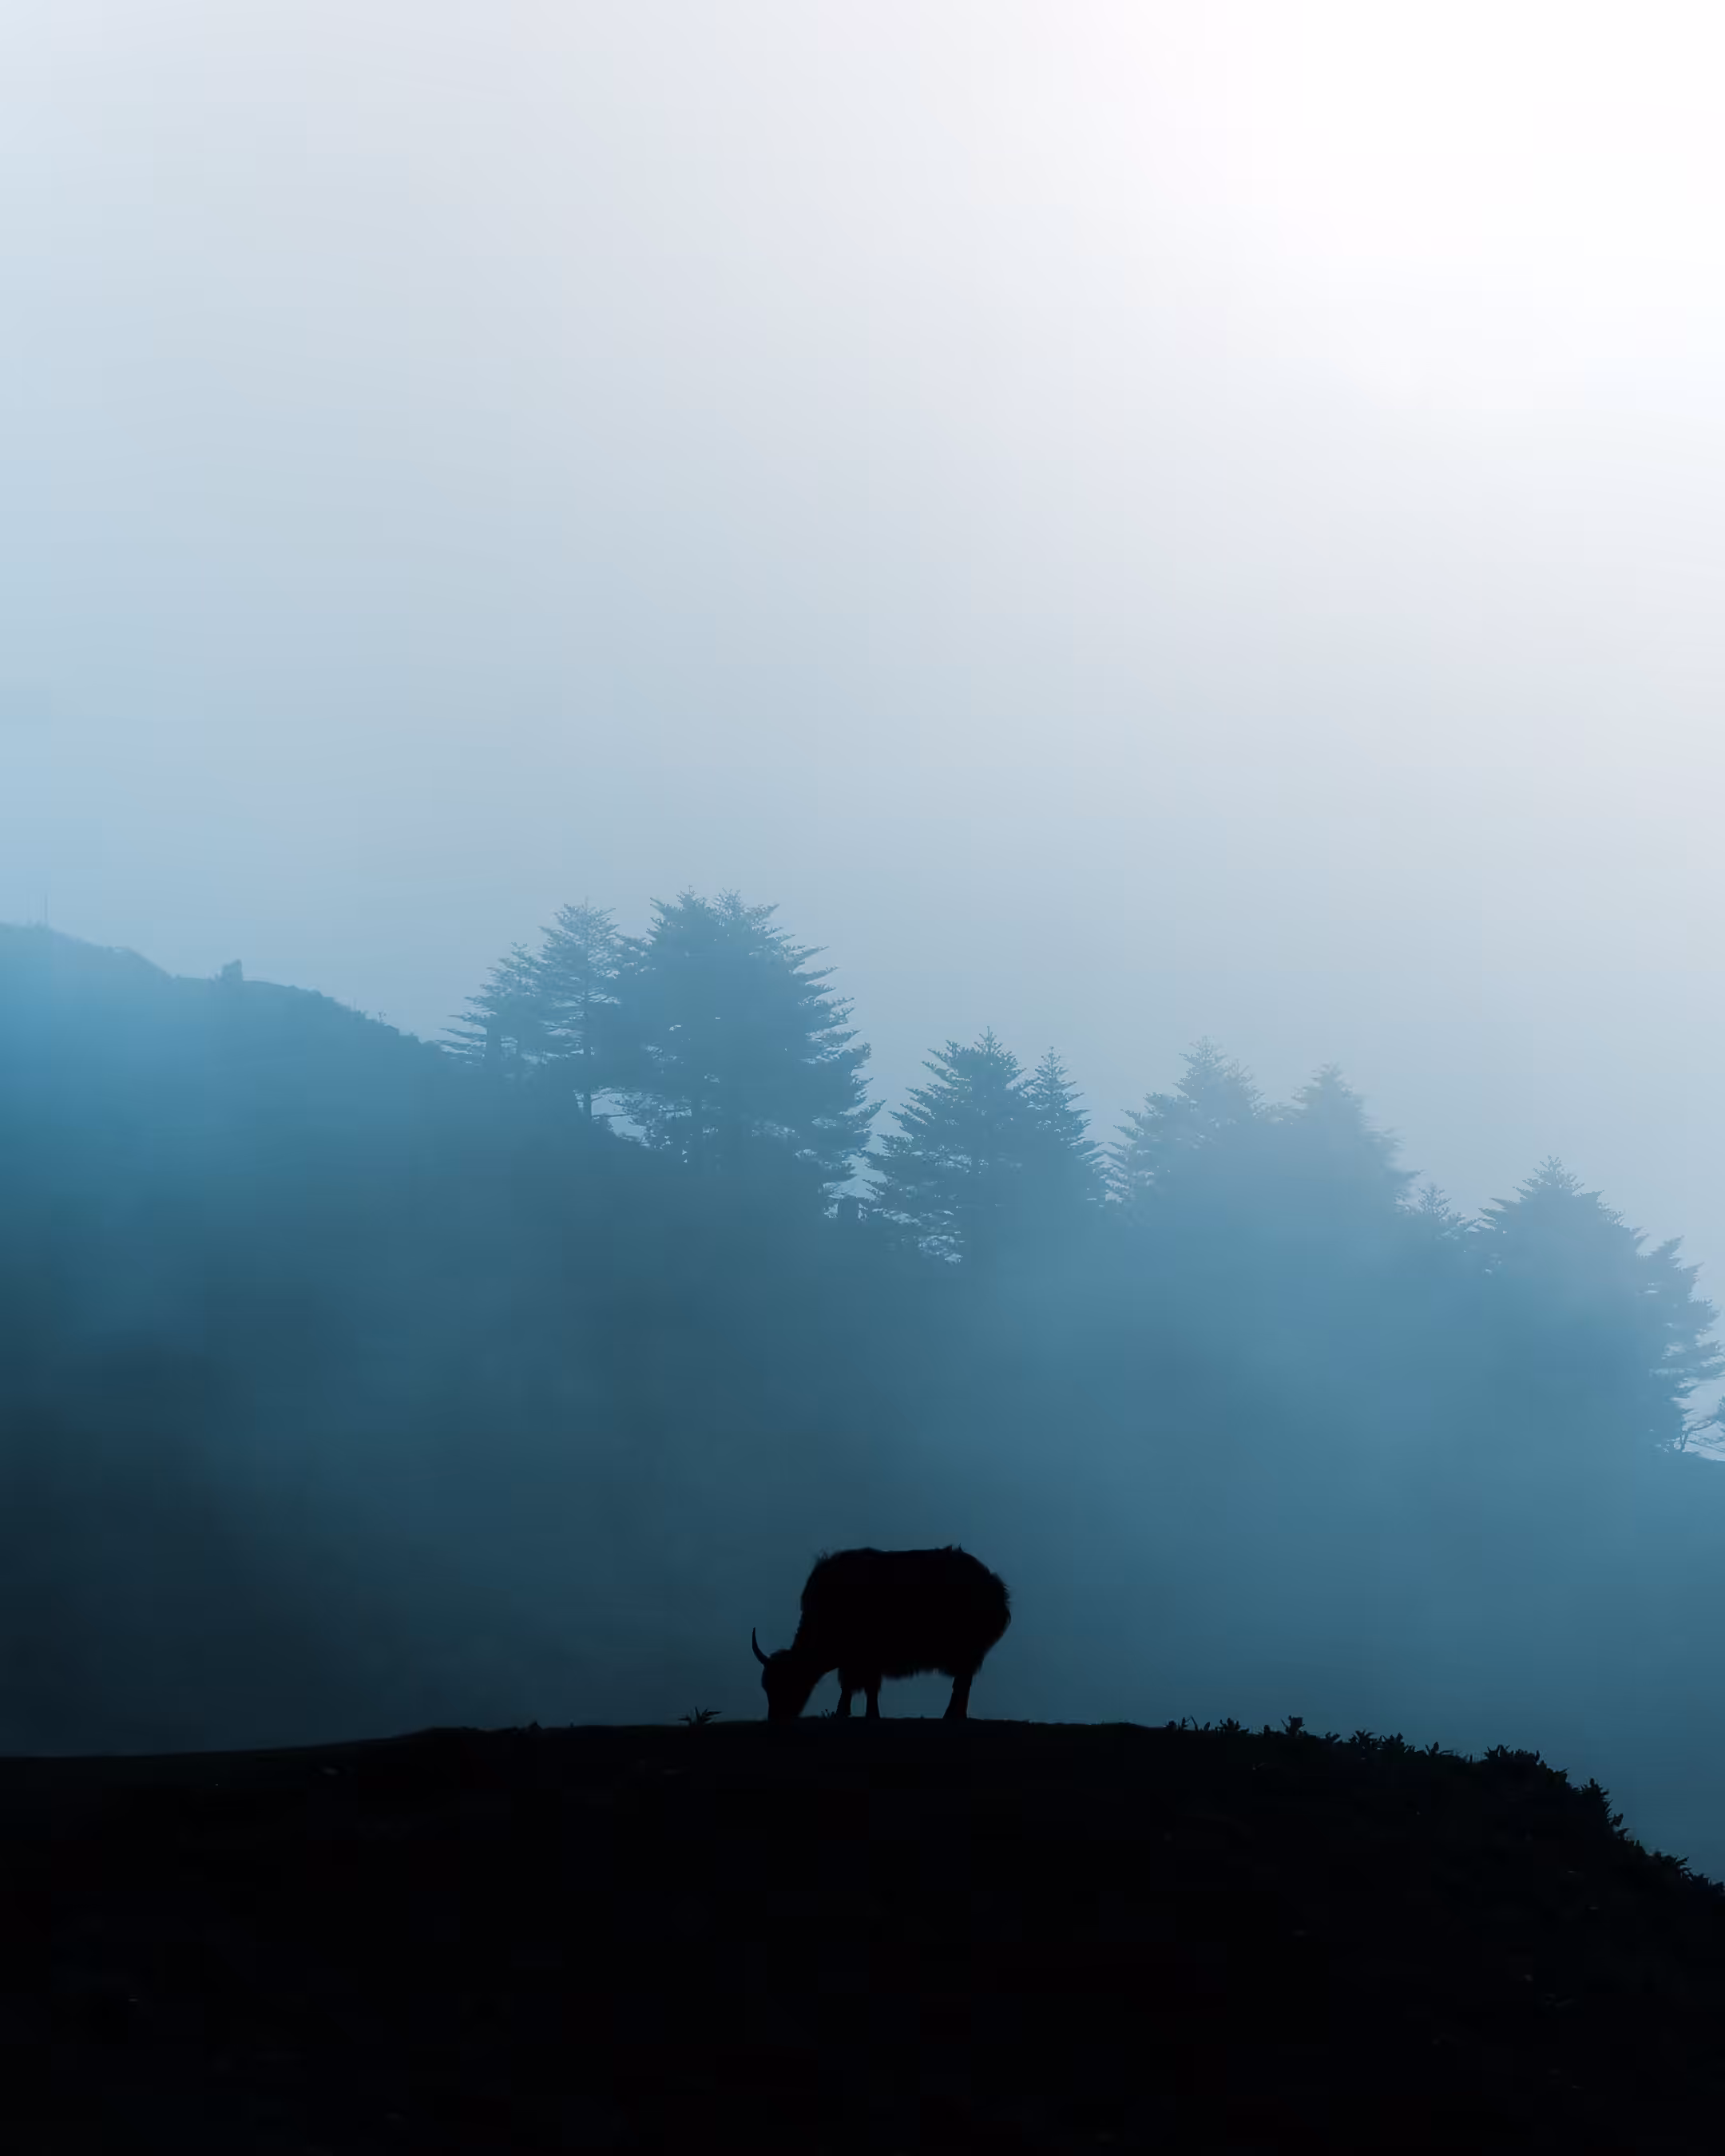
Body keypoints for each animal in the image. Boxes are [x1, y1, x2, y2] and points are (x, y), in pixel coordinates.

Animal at [751, 1546, 1010, 1721]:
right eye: (767, 1687)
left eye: (787, 1683)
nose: (776, 1719)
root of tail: (994, 1584)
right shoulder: (861, 1662)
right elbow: (864, 1688)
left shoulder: (862, 1659)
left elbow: (857, 1687)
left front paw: (846, 1713)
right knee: (963, 1684)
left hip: (967, 1653)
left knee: (962, 1684)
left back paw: (952, 1716)